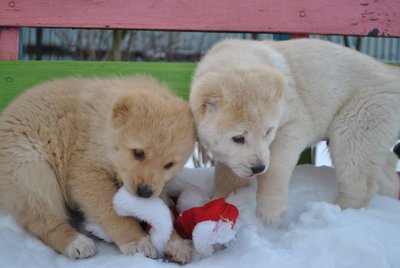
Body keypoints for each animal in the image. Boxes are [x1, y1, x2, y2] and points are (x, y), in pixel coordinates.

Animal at [0, 76, 195, 262]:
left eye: (169, 165)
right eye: (139, 153)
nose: (144, 192)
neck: (102, 130)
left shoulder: (157, 185)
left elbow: (161, 210)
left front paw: (176, 244)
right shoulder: (87, 173)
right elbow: (112, 212)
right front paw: (137, 241)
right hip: (32, 171)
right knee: (44, 220)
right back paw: (76, 243)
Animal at [191, 38, 400, 226]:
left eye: (268, 132)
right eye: (238, 138)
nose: (258, 168)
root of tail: (392, 74)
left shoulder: (294, 123)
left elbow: (276, 165)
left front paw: (271, 212)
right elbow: (226, 174)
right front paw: (219, 200)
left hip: (356, 124)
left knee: (359, 180)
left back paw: (335, 213)